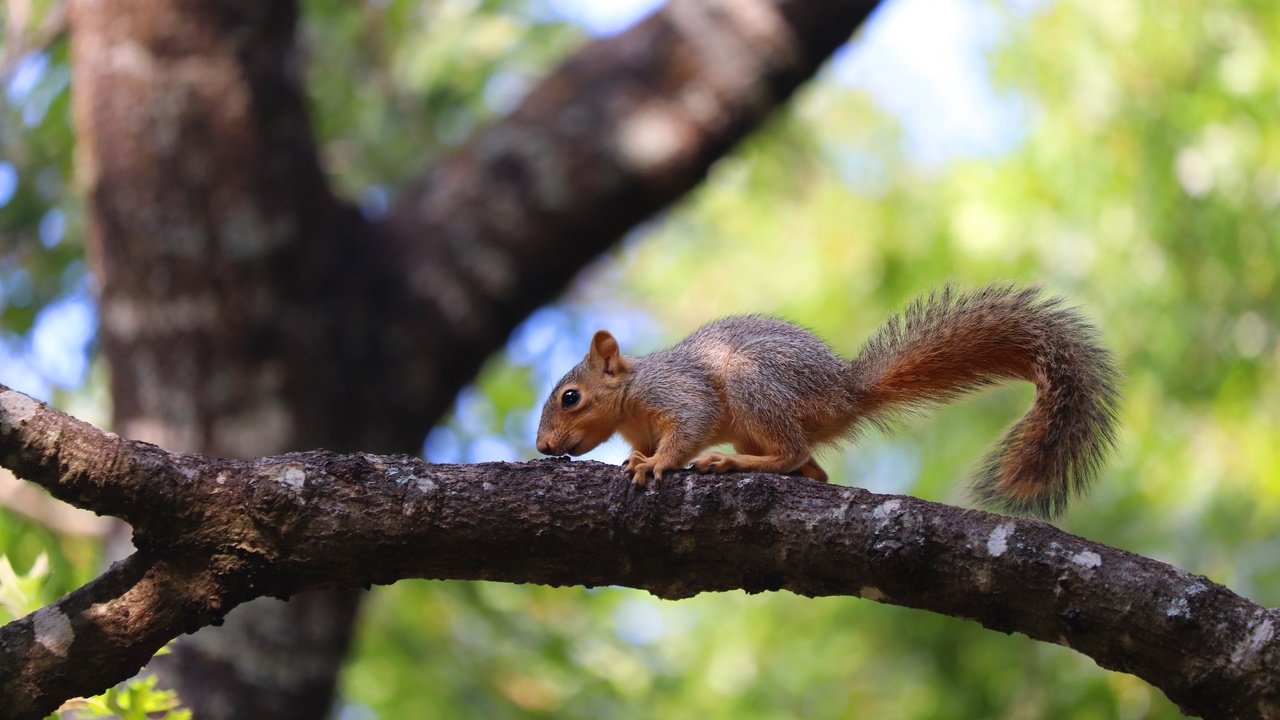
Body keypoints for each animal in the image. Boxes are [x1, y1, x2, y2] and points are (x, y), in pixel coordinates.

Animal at [535, 284, 1116, 515]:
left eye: (570, 398)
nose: (542, 447)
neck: (631, 395)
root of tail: (845, 393)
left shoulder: (677, 390)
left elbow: (689, 426)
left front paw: (654, 464)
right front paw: (636, 456)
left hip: (755, 384)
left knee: (792, 452)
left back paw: (730, 462)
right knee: (812, 470)